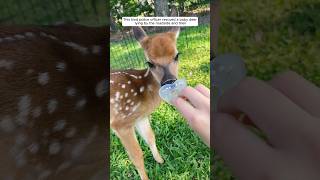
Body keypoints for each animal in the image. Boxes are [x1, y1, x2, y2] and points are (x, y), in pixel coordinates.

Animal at [110, 25, 180, 180]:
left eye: (177, 56)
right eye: (150, 63)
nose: (169, 81)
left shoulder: (140, 118)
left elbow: (150, 137)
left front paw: (160, 160)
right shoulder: (120, 123)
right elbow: (136, 155)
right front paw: (145, 177)